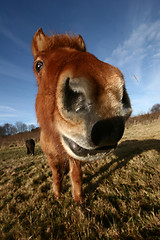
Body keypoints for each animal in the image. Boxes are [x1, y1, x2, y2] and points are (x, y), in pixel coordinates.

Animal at [32, 28, 131, 202]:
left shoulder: (75, 158)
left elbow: (76, 175)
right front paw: (57, 195)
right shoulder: (52, 160)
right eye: (39, 65)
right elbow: (56, 176)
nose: (106, 93)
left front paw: (79, 201)